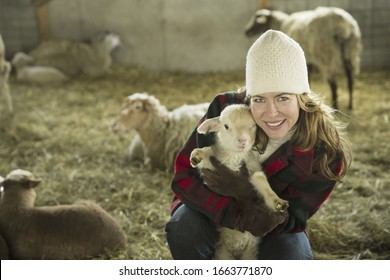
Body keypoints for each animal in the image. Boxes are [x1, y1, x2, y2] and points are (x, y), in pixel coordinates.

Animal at [190, 104, 290, 260]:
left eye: (253, 126)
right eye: (226, 126)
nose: (242, 141)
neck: (235, 157)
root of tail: (236, 249)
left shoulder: (252, 169)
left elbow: (260, 178)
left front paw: (277, 202)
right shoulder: (216, 164)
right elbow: (208, 152)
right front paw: (197, 155)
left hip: (250, 253)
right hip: (223, 254)